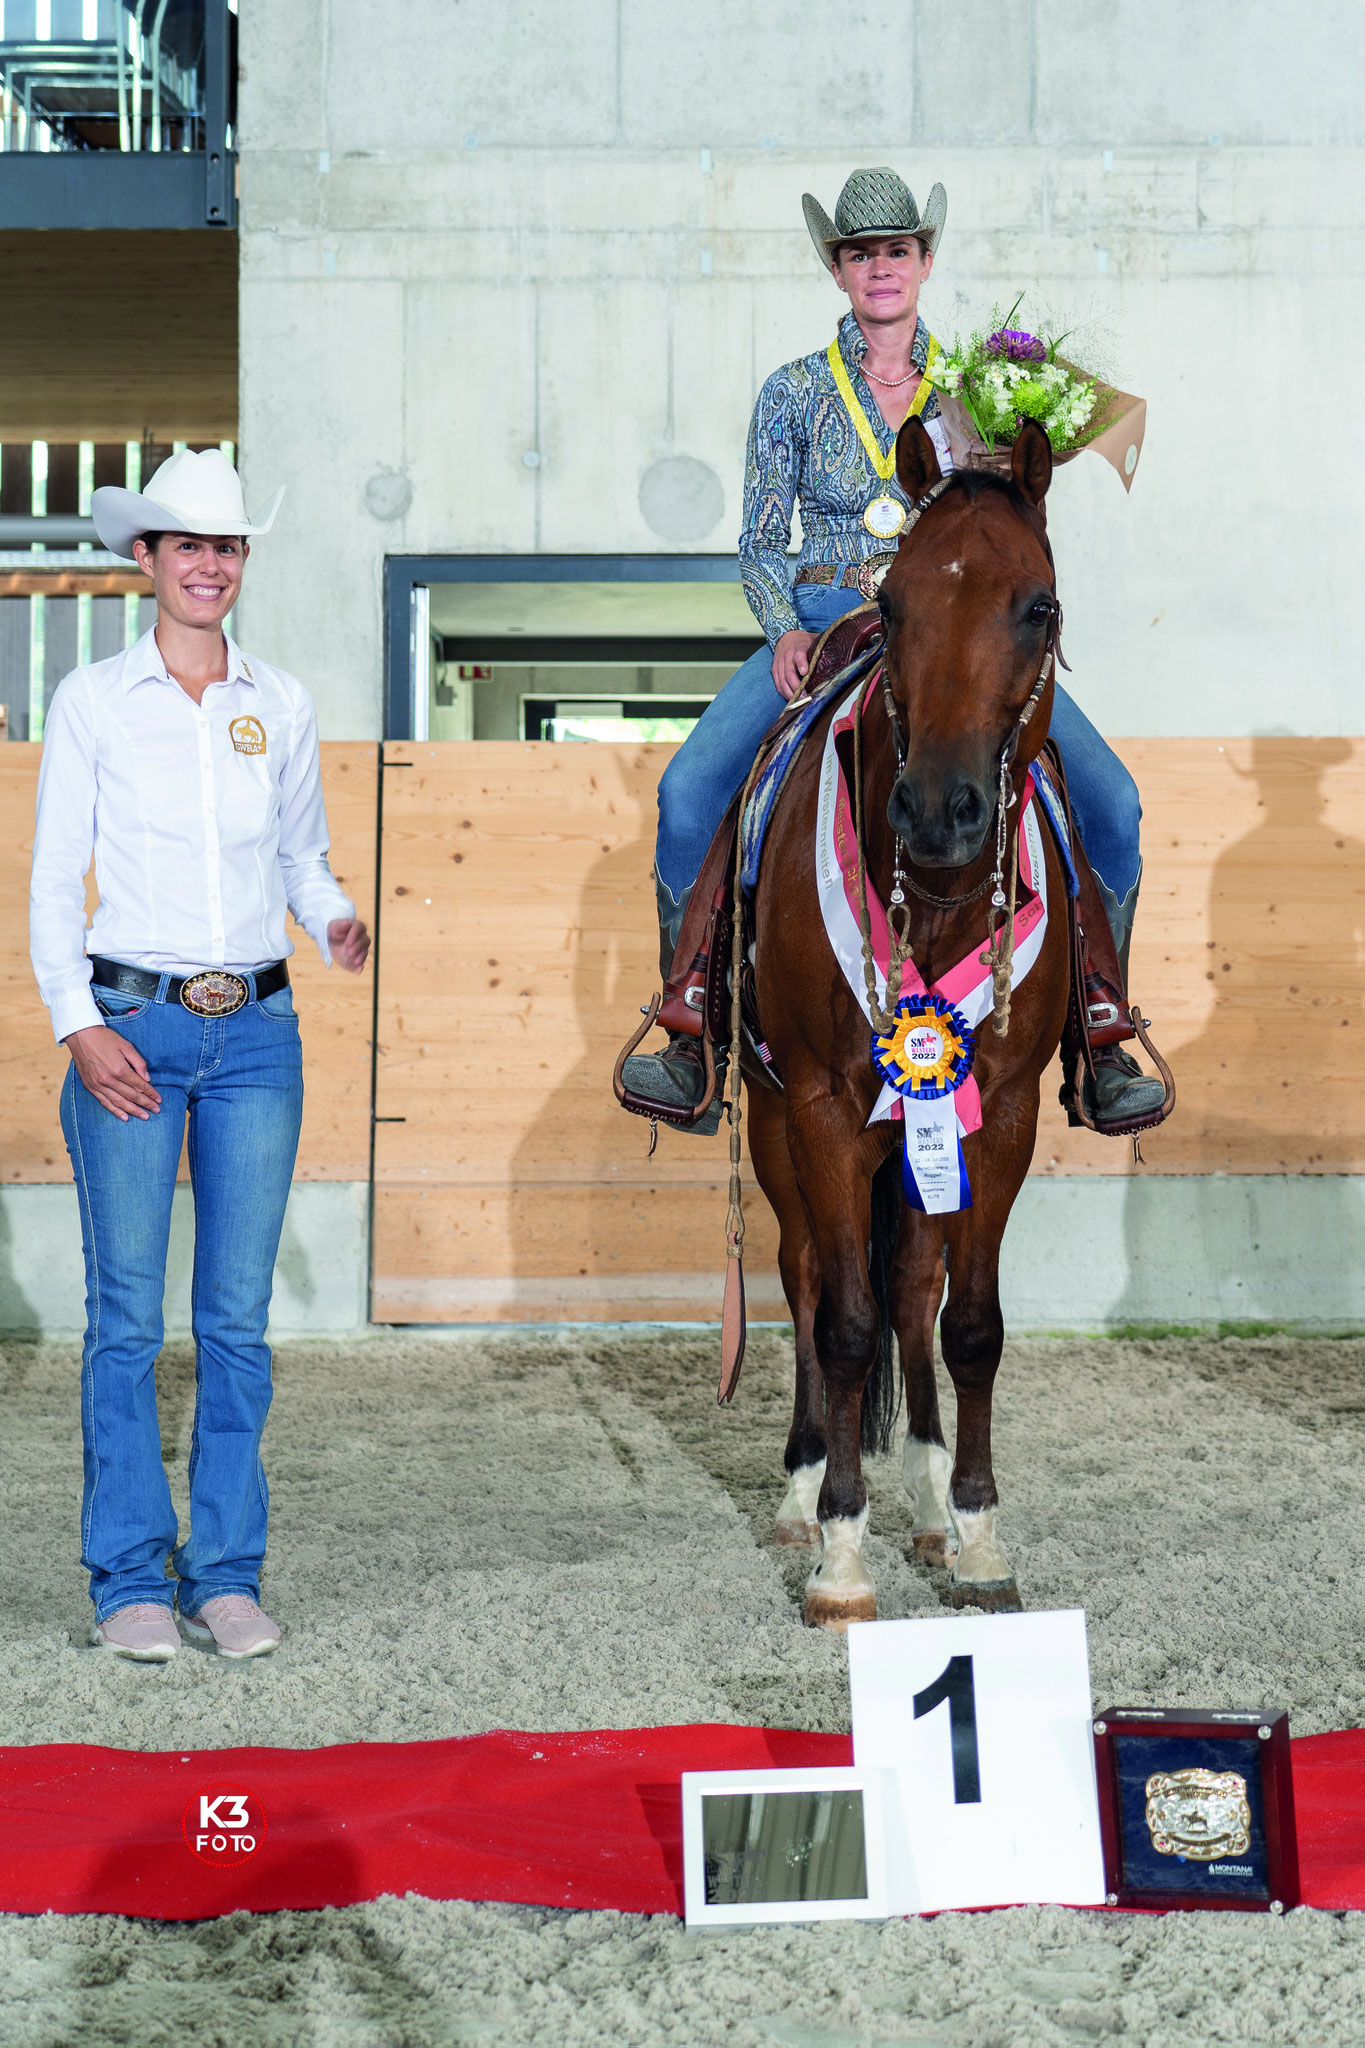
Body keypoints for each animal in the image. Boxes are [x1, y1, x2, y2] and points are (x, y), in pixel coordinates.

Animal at [749, 415, 1064, 1630]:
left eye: (1039, 607)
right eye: (892, 609)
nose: (938, 811)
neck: (931, 896)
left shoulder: (1005, 1110)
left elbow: (968, 1321)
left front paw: (976, 1534)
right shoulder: (825, 1107)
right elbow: (839, 1321)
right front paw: (842, 1555)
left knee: (914, 1284)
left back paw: (928, 1504)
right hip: (771, 1123)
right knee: (803, 1278)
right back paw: (802, 1493)